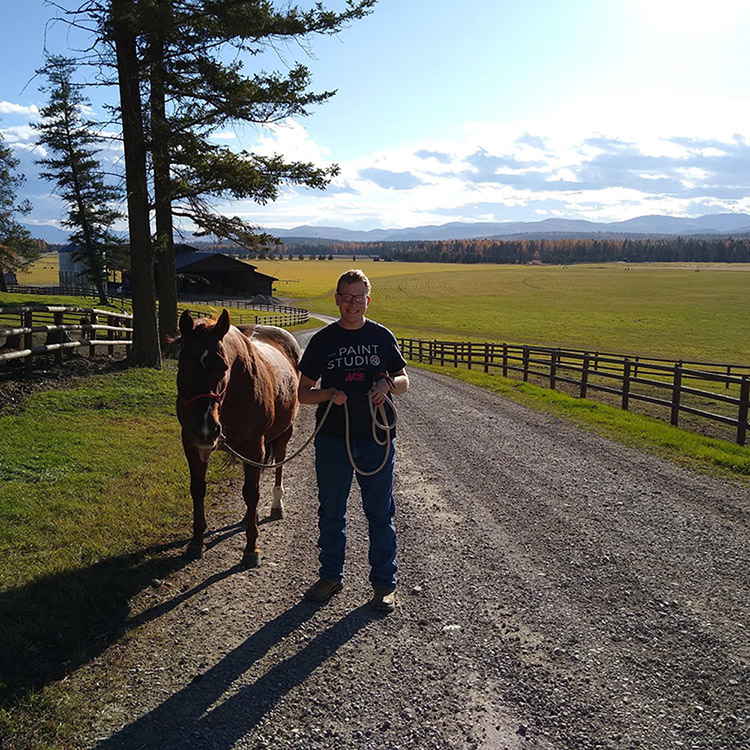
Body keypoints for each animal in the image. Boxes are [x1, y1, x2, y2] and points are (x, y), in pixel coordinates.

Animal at [178, 308, 302, 568]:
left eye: (223, 368)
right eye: (183, 368)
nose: (206, 428)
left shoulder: (254, 447)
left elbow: (252, 493)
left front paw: (251, 548)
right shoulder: (192, 445)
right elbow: (198, 489)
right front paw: (196, 542)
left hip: (284, 434)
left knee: (278, 467)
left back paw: (276, 505)